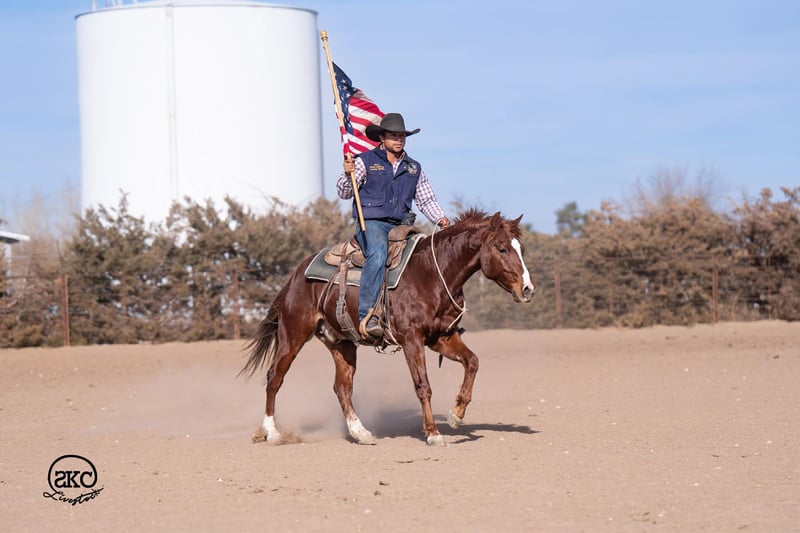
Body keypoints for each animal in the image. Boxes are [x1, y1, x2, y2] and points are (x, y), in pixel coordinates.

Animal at [239, 209, 536, 446]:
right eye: (502, 248)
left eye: (520, 249)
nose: (527, 289)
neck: (431, 274)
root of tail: (294, 278)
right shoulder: (412, 339)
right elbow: (423, 386)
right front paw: (433, 433)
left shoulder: (441, 338)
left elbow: (472, 362)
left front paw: (456, 414)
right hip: (293, 335)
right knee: (274, 378)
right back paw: (272, 433)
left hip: (341, 343)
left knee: (342, 386)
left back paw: (360, 433)